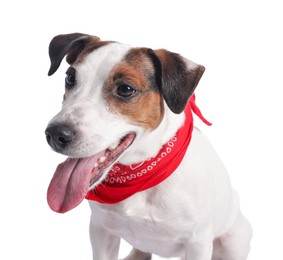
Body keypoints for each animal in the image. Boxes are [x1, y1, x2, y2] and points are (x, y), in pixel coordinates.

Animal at [46, 33, 253, 258]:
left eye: (125, 89)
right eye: (70, 78)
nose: (55, 134)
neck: (141, 170)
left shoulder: (198, 242)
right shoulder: (101, 229)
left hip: (234, 239)